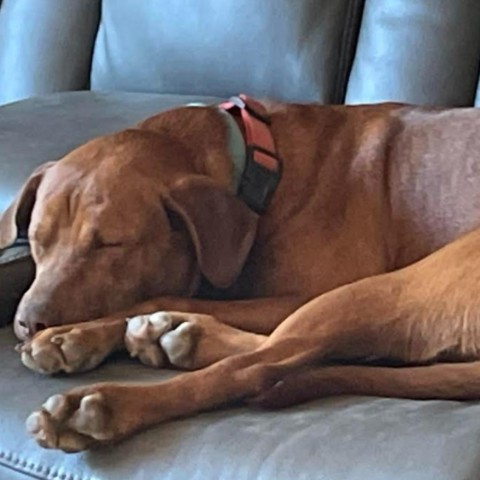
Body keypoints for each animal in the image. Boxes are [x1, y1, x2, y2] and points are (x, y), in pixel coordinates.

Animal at [2, 96, 480, 450]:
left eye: (109, 245)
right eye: (37, 239)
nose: (28, 323)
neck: (262, 166)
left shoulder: (304, 292)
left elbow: (163, 295)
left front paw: (73, 336)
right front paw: (76, 338)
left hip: (392, 284)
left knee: (256, 368)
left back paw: (104, 404)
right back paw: (179, 338)